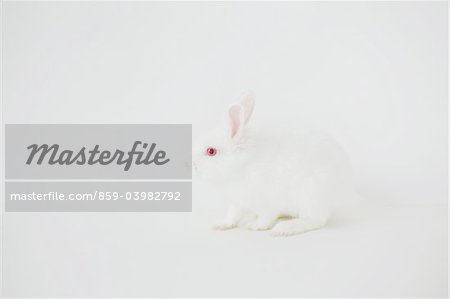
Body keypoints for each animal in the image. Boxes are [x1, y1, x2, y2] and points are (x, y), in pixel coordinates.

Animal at [192, 91, 356, 237]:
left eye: (211, 151)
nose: (192, 166)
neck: (243, 165)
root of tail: (345, 190)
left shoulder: (268, 202)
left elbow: (266, 217)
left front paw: (255, 226)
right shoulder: (237, 202)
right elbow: (232, 215)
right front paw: (221, 224)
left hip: (313, 196)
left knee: (315, 221)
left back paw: (284, 228)